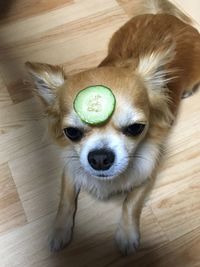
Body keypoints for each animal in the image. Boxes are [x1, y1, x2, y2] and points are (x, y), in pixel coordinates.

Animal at [25, 0, 200, 255]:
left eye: (136, 128)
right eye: (71, 133)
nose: (99, 158)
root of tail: (166, 17)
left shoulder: (146, 174)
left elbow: (130, 203)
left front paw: (126, 235)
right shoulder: (72, 167)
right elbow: (65, 200)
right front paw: (59, 230)